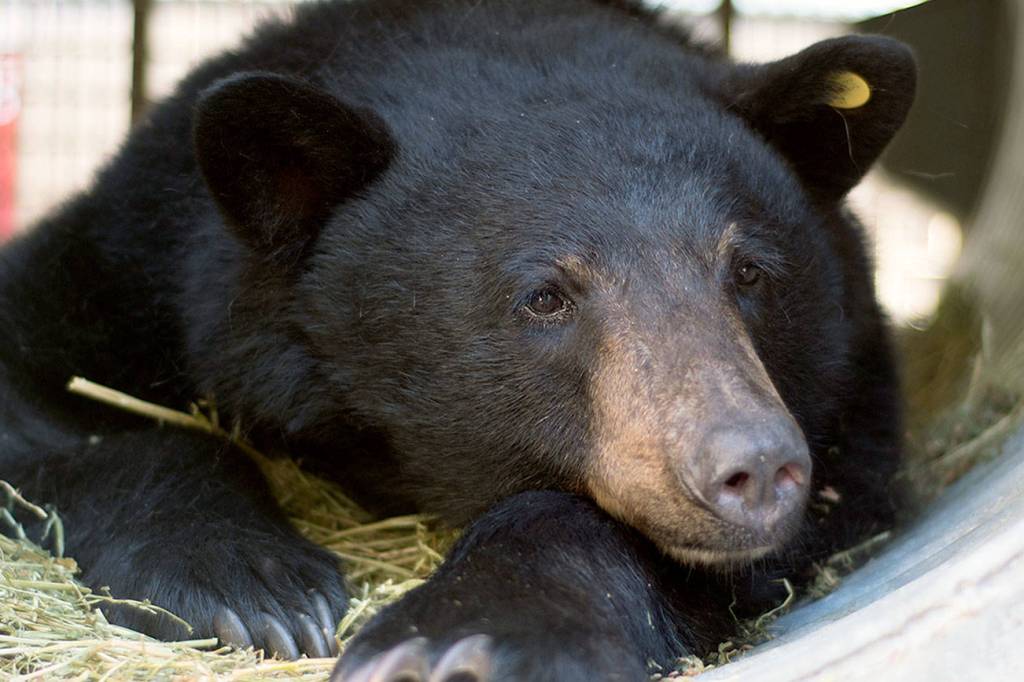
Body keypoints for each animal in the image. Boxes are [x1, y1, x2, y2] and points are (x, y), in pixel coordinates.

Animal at [0, 0, 915, 680]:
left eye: (750, 271)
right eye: (545, 296)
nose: (754, 467)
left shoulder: (847, 409)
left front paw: (454, 637)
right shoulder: (130, 259)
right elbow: (63, 405)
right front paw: (252, 588)